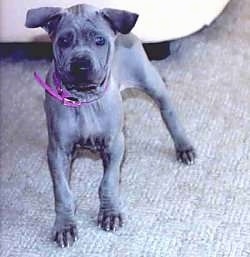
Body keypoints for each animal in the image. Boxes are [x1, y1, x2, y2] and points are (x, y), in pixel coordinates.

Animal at [24, 3, 195, 246]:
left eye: (99, 40)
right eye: (64, 41)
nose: (81, 65)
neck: (84, 99)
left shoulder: (115, 145)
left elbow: (108, 181)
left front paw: (110, 213)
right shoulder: (57, 151)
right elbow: (62, 191)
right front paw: (65, 225)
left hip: (150, 82)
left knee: (168, 113)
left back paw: (184, 147)